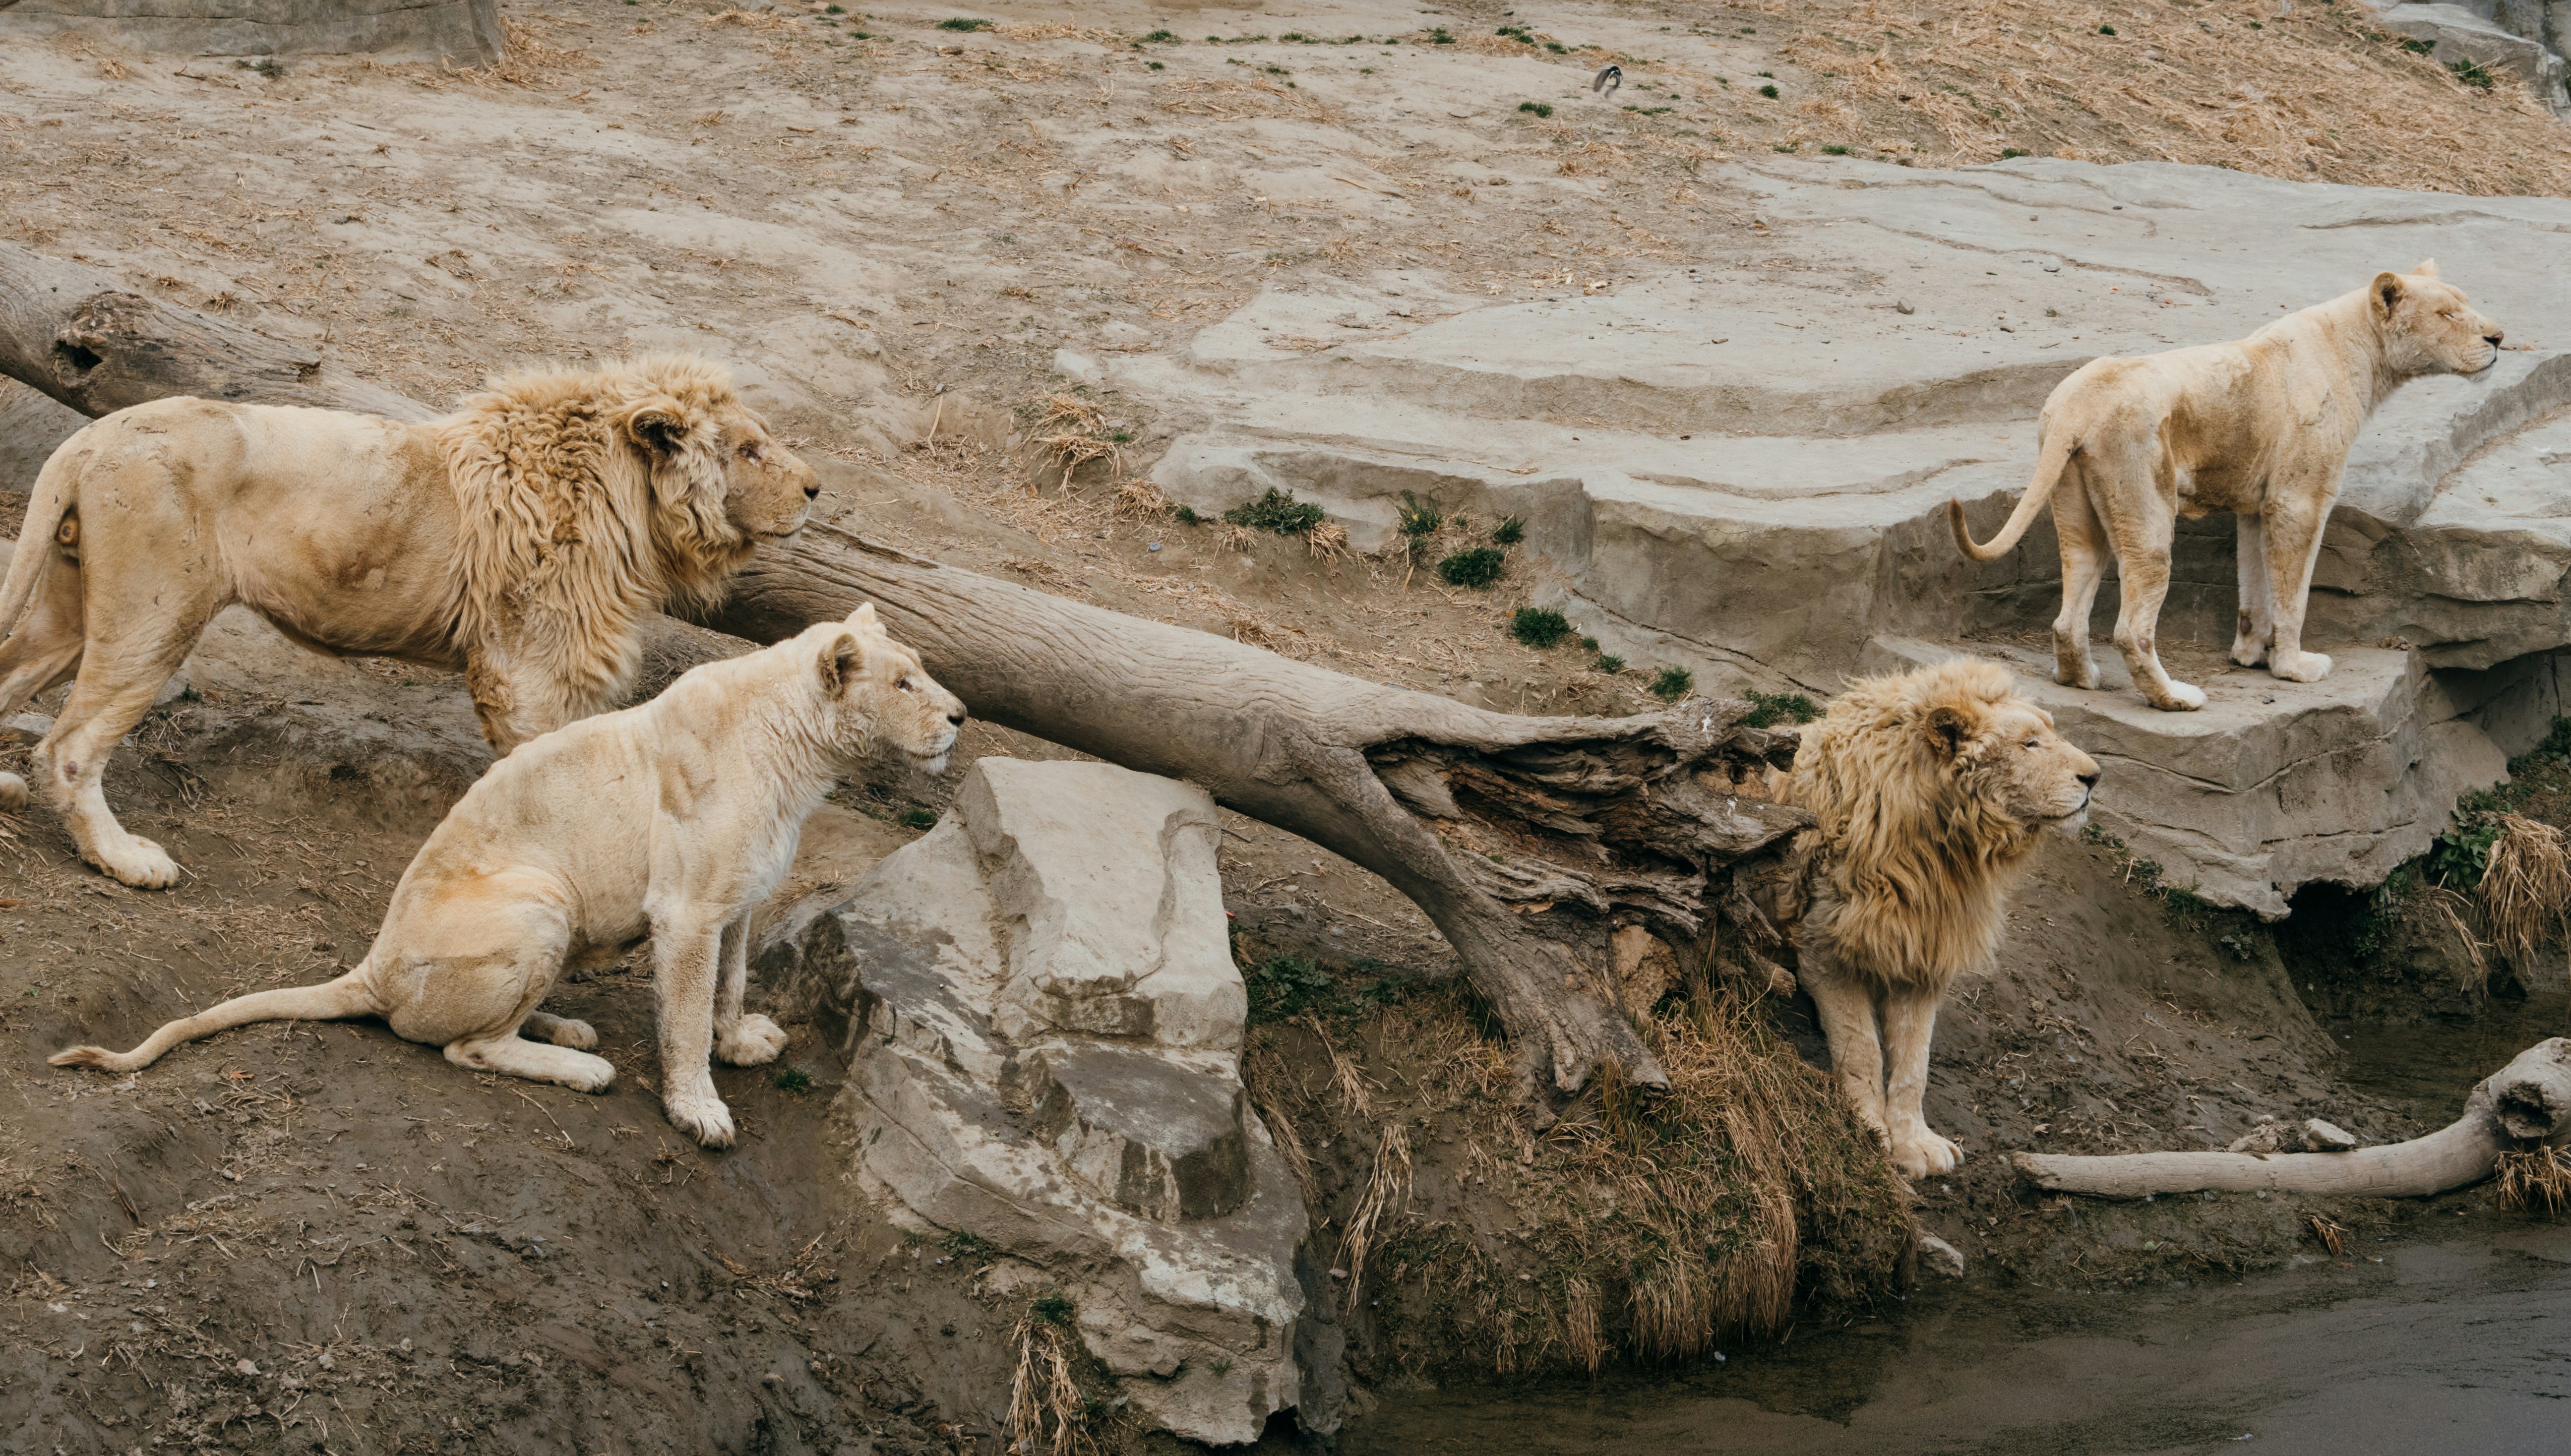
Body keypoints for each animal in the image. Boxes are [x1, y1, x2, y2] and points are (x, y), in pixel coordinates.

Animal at [0, 355, 816, 888]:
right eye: (750, 450)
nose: (814, 487)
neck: (630, 504)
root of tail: (91, 437)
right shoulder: (528, 670)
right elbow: (544, 774)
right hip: (154, 611)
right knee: (70, 749)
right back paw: (126, 860)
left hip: (70, 609)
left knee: (12, 678)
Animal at [50, 603, 966, 1149]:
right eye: (904, 681)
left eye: (923, 665)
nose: (960, 716)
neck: (802, 756)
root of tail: (373, 968)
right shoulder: (687, 908)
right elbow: (683, 1015)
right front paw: (700, 1108)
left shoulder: (740, 900)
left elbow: (732, 984)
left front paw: (742, 1042)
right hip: (538, 898)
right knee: (467, 1046)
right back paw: (580, 1065)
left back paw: (566, 1028)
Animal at [1773, 658, 2098, 1180]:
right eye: (2029, 743)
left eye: (2049, 731)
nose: (2096, 777)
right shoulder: (1828, 944)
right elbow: (1861, 1050)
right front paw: (1870, 1133)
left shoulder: (1923, 951)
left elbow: (1913, 1064)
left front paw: (1916, 1144)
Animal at [1950, 261, 2504, 712]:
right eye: (2447, 314)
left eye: (2466, 302)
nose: (2499, 338)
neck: (2361, 355)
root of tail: (2075, 404)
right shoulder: (2300, 500)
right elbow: (2293, 592)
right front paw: (2296, 668)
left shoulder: (2257, 505)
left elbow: (2254, 582)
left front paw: (2250, 655)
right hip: (2143, 491)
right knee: (2132, 627)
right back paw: (2176, 698)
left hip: (2074, 496)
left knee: (2071, 607)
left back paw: (2082, 677)